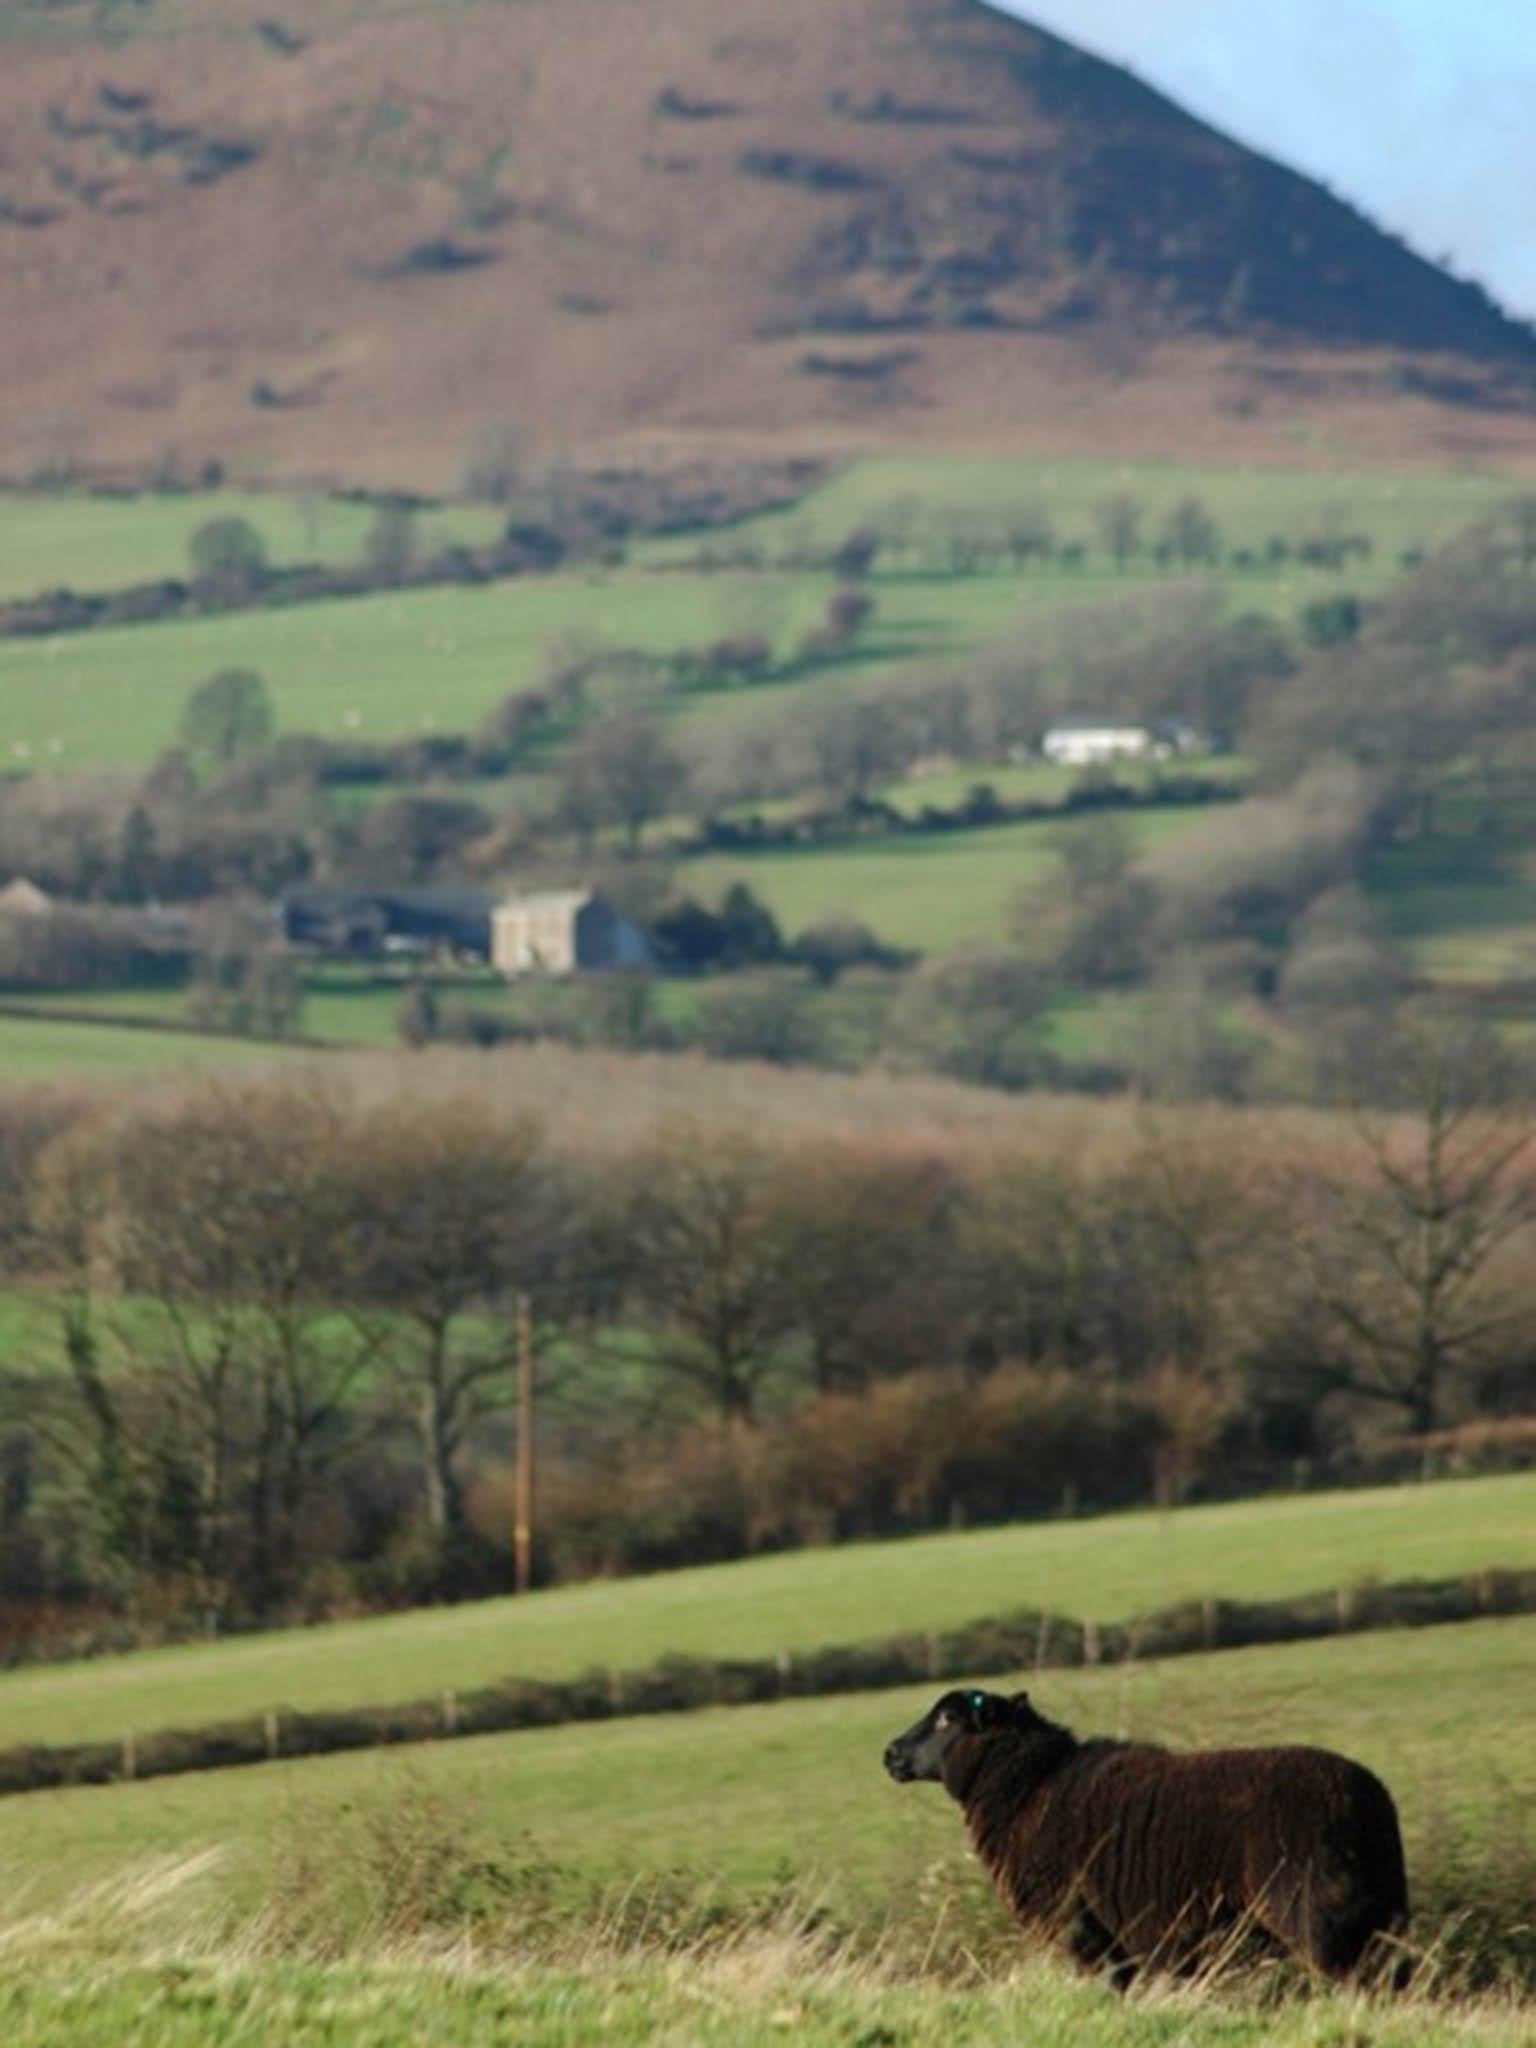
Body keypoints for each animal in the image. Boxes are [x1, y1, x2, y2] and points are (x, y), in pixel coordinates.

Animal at [884, 1679, 1417, 1982]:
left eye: (947, 1718)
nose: (890, 1753)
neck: (1029, 1787)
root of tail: (1366, 1797)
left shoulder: (1084, 1929)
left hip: (1318, 1915)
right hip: (1382, 1908)